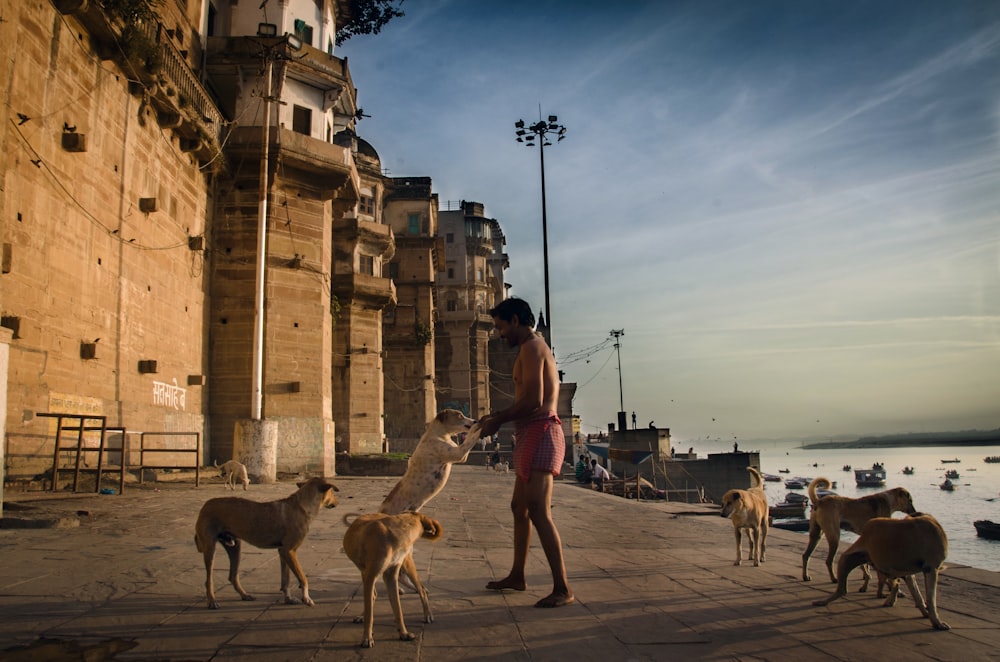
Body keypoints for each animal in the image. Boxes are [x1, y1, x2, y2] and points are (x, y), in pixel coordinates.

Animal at [191, 478, 340, 612]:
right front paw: (307, 598)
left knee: (233, 576)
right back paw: (212, 601)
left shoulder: (283, 552)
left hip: (235, 546)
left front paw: (289, 599)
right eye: (333, 492)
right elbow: (303, 578)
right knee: (208, 579)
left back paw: (245, 595)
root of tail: (206, 505)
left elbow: (286, 580)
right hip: (210, 548)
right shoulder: (290, 551)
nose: (338, 502)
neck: (302, 507)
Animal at [344, 512, 446, 648]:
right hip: (366, 572)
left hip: (407, 564)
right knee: (372, 596)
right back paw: (362, 616)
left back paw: (428, 614)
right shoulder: (371, 576)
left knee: (422, 589)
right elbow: (370, 614)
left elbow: (398, 610)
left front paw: (403, 633)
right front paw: (367, 638)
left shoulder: (391, 576)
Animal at [808, 512, 948, 632]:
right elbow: (930, 598)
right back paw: (824, 601)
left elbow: (917, 593)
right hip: (849, 558)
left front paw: (929, 615)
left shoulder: (916, 570)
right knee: (842, 588)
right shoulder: (930, 568)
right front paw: (936, 620)